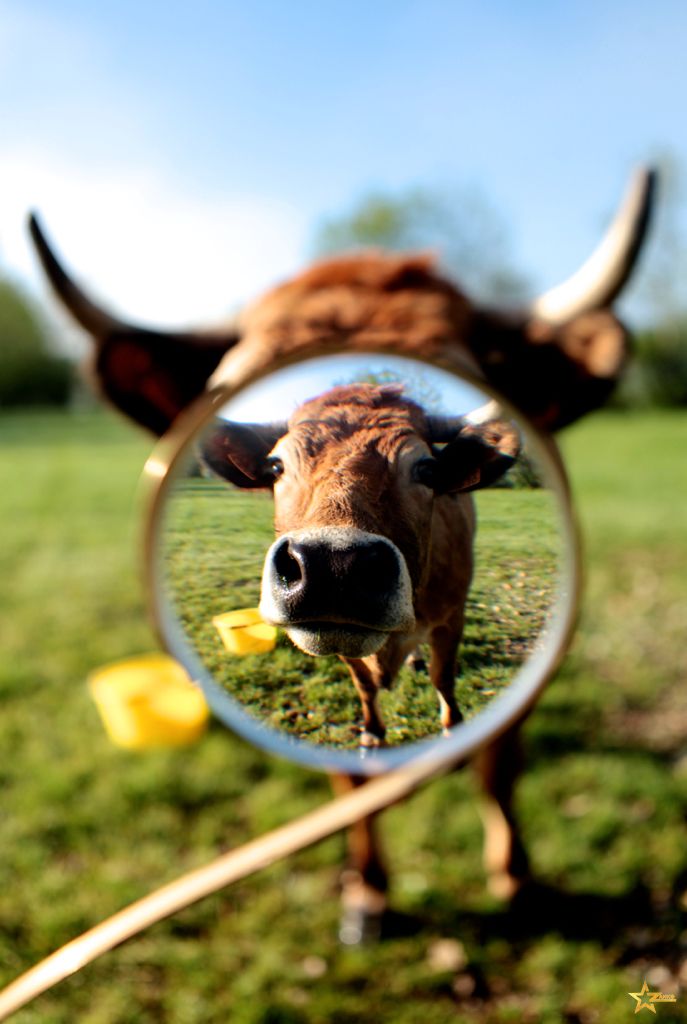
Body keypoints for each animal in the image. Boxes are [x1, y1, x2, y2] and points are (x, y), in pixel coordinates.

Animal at [201, 383, 520, 746]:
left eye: (427, 469)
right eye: (276, 467)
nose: (333, 566)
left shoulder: (452, 617)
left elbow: (443, 678)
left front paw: (454, 726)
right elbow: (364, 685)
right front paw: (372, 733)